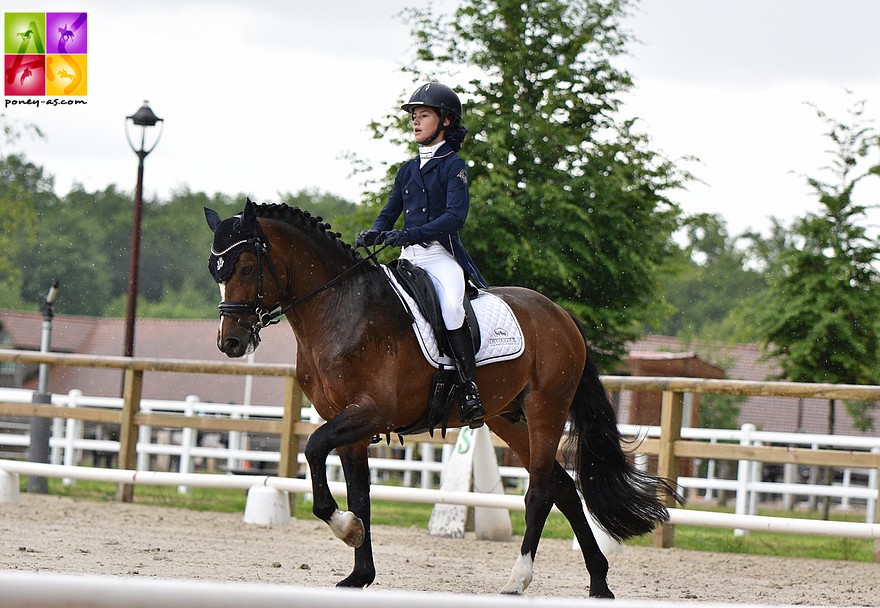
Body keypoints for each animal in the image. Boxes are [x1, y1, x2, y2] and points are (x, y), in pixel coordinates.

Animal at [206, 201, 680, 600]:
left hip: (546, 409)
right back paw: (599, 581)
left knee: (542, 491)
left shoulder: (369, 412)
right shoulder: (349, 424)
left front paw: (345, 529)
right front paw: (359, 573)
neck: (341, 310)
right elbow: (360, 493)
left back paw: (518, 580)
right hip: (508, 418)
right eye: (217, 271)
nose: (231, 343)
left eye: (245, 266)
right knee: (564, 487)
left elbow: (315, 449)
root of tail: (561, 315)